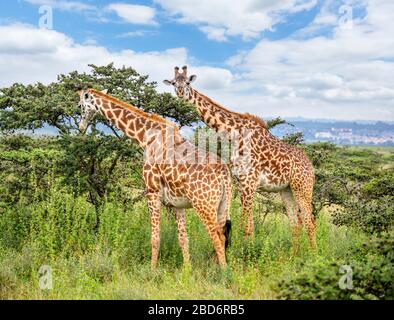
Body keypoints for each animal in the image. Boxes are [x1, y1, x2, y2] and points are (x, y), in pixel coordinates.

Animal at [78, 89, 232, 268]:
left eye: (80, 105)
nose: (81, 127)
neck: (145, 136)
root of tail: (224, 174)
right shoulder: (177, 204)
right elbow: (183, 239)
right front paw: (187, 270)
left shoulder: (152, 192)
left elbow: (155, 237)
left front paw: (152, 269)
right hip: (223, 205)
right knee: (223, 235)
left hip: (204, 205)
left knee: (217, 238)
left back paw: (223, 272)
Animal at [164, 67, 318, 252]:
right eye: (174, 83)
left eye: (187, 82)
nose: (180, 93)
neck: (234, 134)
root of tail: (311, 167)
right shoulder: (240, 181)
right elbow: (250, 226)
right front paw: (249, 252)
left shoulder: (249, 182)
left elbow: (246, 225)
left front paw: (246, 255)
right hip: (286, 190)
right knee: (295, 223)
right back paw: (292, 256)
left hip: (302, 187)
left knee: (310, 223)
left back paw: (314, 255)